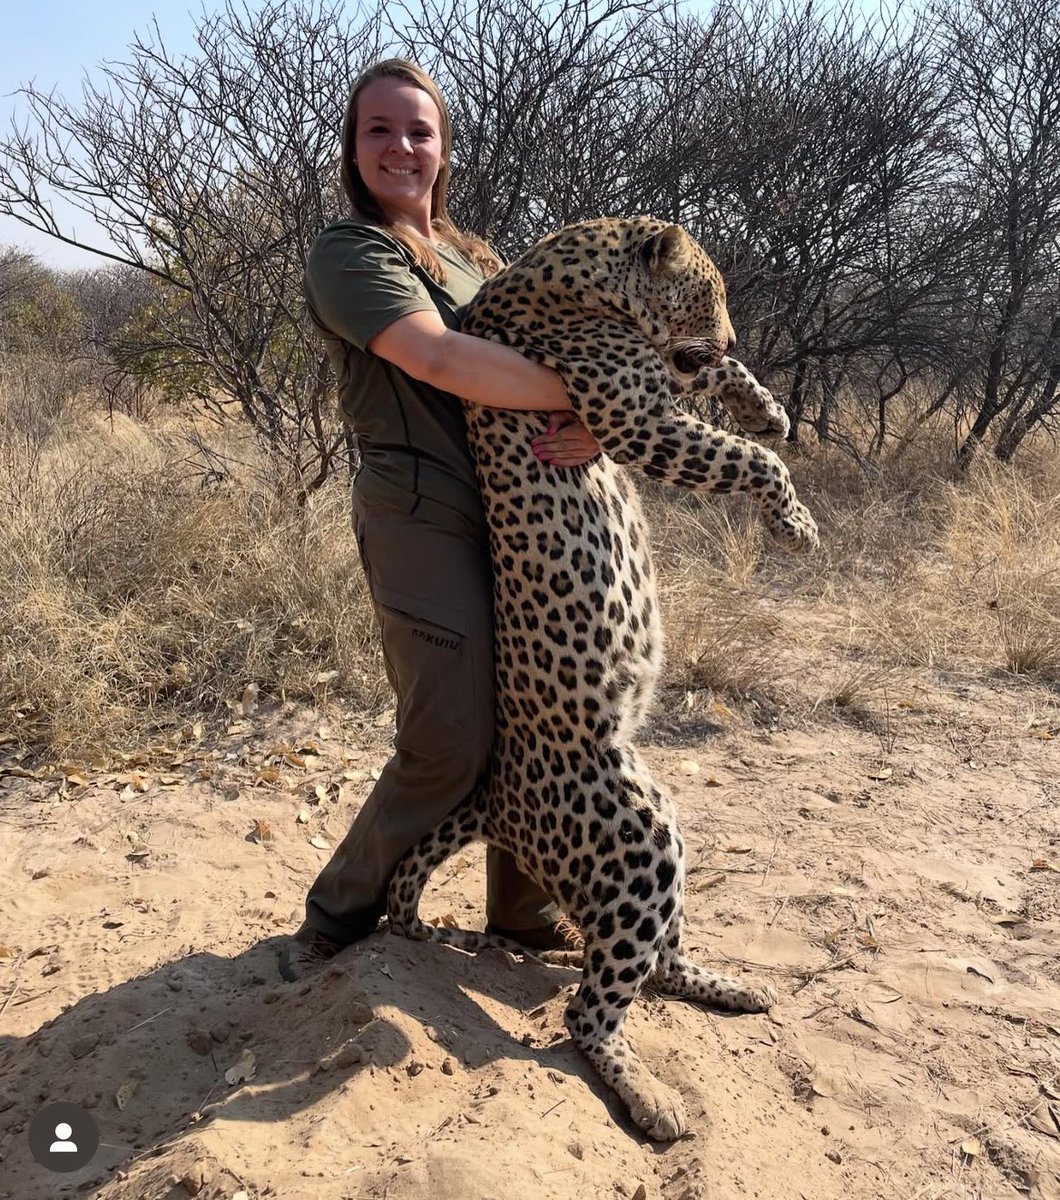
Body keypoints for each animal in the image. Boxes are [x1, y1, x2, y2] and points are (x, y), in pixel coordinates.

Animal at [385, 216, 818, 1141]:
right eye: (710, 292)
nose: (733, 334)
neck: (575, 274)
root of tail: (495, 793)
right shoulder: (634, 419)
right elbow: (751, 462)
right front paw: (794, 523)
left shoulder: (661, 385)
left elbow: (719, 393)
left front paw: (764, 404)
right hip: (637, 839)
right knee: (590, 1012)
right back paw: (651, 1100)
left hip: (661, 838)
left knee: (656, 965)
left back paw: (732, 989)